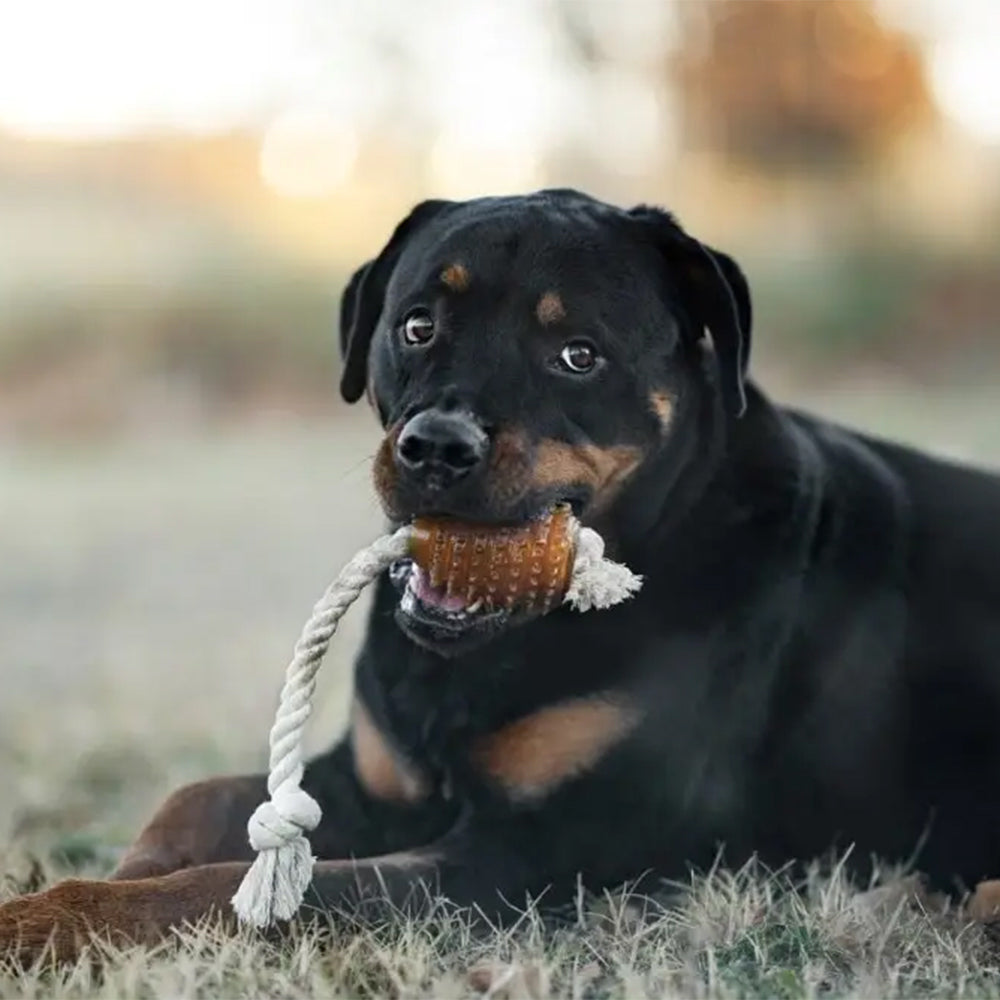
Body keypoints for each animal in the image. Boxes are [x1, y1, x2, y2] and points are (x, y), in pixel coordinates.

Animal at [1, 191, 1000, 956]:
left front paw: (51, 924)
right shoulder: (372, 781)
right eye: (416, 326)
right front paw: (108, 874)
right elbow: (195, 800)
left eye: (579, 355)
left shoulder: (528, 855)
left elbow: (232, 889)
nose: (437, 447)